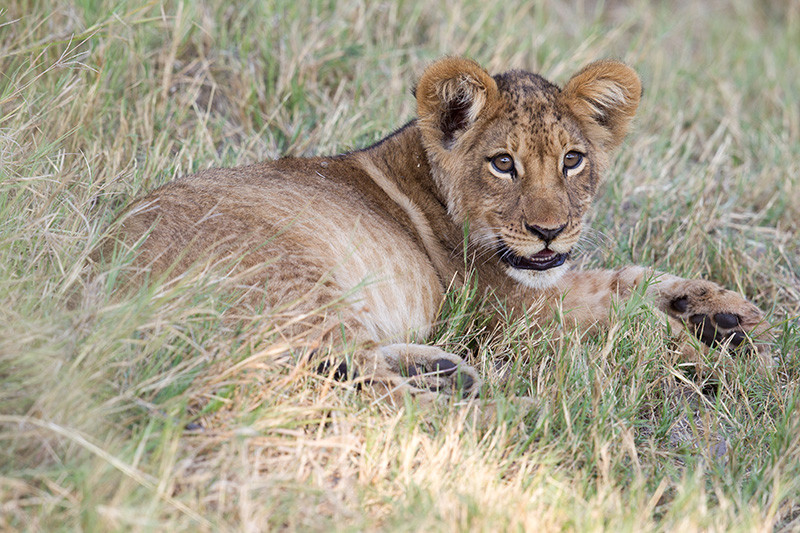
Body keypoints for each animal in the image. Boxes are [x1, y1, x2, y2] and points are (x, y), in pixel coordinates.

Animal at [96, 56, 771, 405]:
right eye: (503, 163)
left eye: (572, 160)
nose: (548, 232)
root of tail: (97, 294)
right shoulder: (504, 315)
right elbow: (624, 321)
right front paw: (713, 362)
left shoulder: (536, 288)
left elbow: (624, 279)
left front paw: (728, 315)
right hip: (297, 279)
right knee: (376, 394)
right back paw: (510, 419)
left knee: (358, 368)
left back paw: (453, 375)